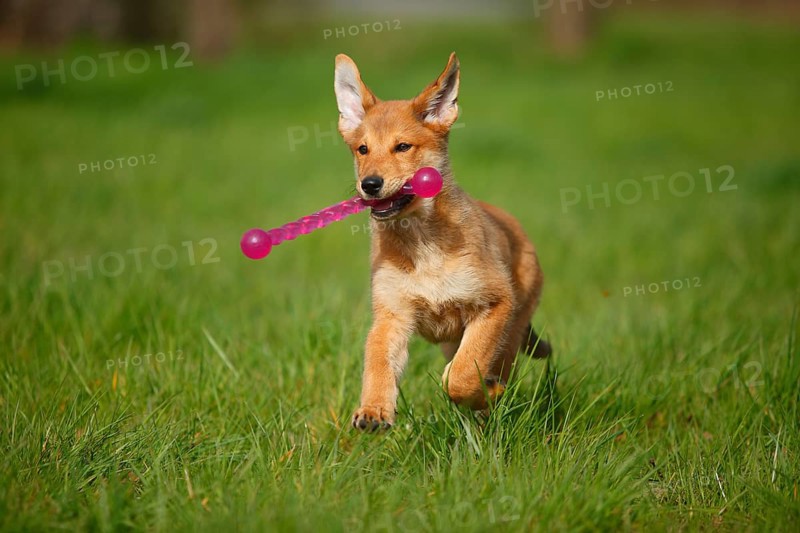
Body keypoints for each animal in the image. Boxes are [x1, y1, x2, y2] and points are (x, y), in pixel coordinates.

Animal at [333, 52, 550, 431]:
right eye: (362, 149)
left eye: (402, 147)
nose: (370, 184)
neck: (422, 245)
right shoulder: (391, 316)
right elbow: (378, 365)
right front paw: (374, 409)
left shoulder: (495, 303)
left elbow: (460, 376)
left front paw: (482, 392)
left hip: (511, 330)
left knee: (500, 368)